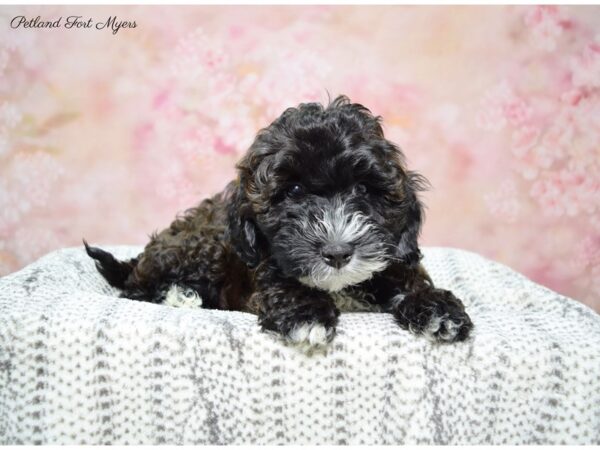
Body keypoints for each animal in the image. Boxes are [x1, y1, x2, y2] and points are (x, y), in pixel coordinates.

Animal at [86, 95, 474, 348]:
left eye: (363, 189)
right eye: (295, 191)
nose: (337, 252)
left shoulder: (394, 259)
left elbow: (409, 279)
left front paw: (436, 307)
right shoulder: (263, 269)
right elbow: (281, 284)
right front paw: (306, 314)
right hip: (198, 248)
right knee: (134, 287)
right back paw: (182, 295)